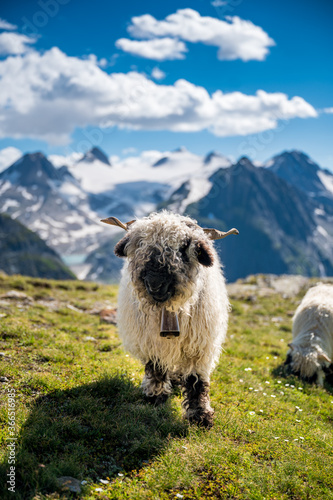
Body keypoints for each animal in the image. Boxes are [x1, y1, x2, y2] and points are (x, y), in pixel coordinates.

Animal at [100, 210, 237, 426]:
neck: (169, 308)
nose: (155, 283)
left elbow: (196, 379)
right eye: (141, 244)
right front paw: (155, 396)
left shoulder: (199, 345)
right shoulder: (150, 342)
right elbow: (156, 368)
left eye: (183, 247)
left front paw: (200, 415)